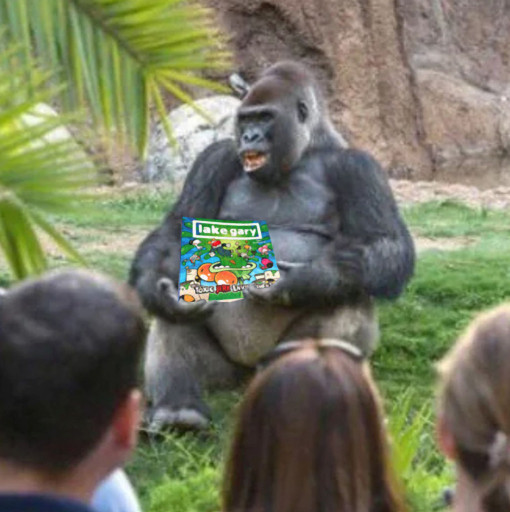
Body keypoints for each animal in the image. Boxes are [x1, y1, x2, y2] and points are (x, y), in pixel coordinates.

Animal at [129, 61, 416, 432]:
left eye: (265, 118)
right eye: (246, 119)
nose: (249, 137)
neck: (305, 151)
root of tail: (247, 375)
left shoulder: (360, 167)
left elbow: (386, 244)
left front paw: (306, 279)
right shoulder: (214, 158)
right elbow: (175, 232)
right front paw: (153, 288)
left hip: (271, 366)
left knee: (349, 291)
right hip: (225, 376)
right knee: (177, 315)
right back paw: (179, 410)